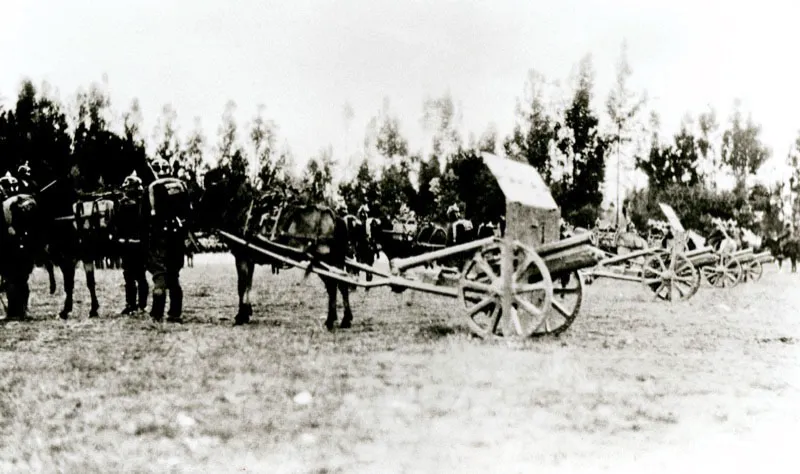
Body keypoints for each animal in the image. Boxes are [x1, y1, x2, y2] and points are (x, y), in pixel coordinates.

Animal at [199, 170, 354, 330]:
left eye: (210, 189)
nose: (198, 215)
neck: (242, 209)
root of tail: (333, 215)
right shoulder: (250, 259)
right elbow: (248, 285)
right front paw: (247, 312)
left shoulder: (241, 257)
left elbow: (241, 285)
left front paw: (240, 316)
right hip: (334, 260)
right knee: (342, 284)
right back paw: (345, 319)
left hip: (323, 260)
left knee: (333, 285)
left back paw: (331, 320)